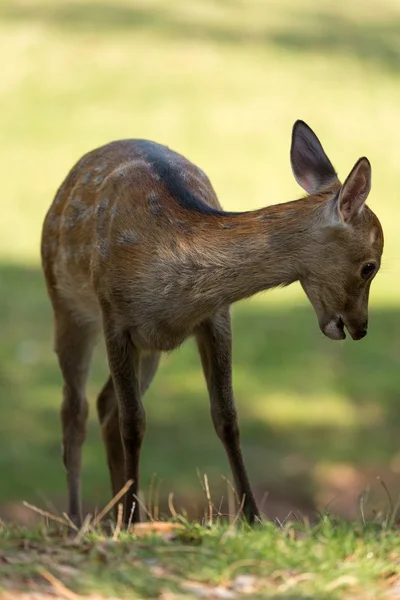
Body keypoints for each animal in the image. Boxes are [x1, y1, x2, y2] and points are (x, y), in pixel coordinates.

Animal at [41, 120, 384, 524]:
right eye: (370, 266)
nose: (361, 327)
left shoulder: (216, 318)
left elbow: (227, 418)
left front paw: (253, 517)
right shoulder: (115, 318)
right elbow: (134, 422)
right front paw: (128, 519)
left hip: (149, 349)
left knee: (105, 405)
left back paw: (122, 512)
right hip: (65, 303)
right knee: (74, 411)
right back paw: (78, 519)